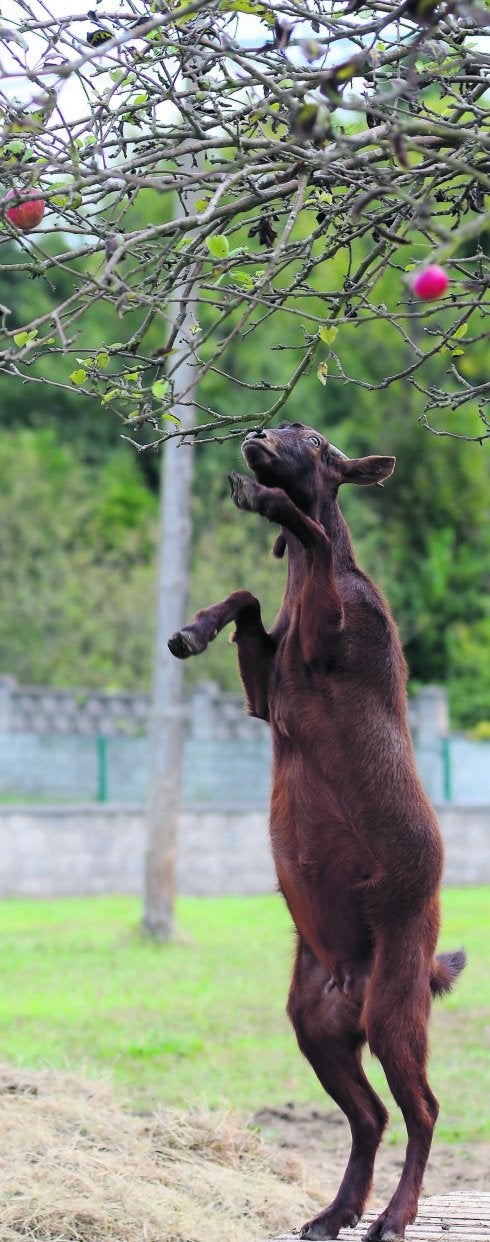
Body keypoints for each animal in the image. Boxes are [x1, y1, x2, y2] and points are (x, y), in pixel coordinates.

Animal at [169, 422, 468, 1237]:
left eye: (311, 437)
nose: (255, 435)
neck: (308, 584)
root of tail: (353, 979)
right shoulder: (265, 696)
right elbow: (248, 601)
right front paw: (192, 630)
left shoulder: (334, 630)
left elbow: (308, 529)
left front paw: (268, 502)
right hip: (317, 1028)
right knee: (371, 1117)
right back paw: (337, 1211)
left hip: (396, 1016)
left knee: (423, 1111)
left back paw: (393, 1215)